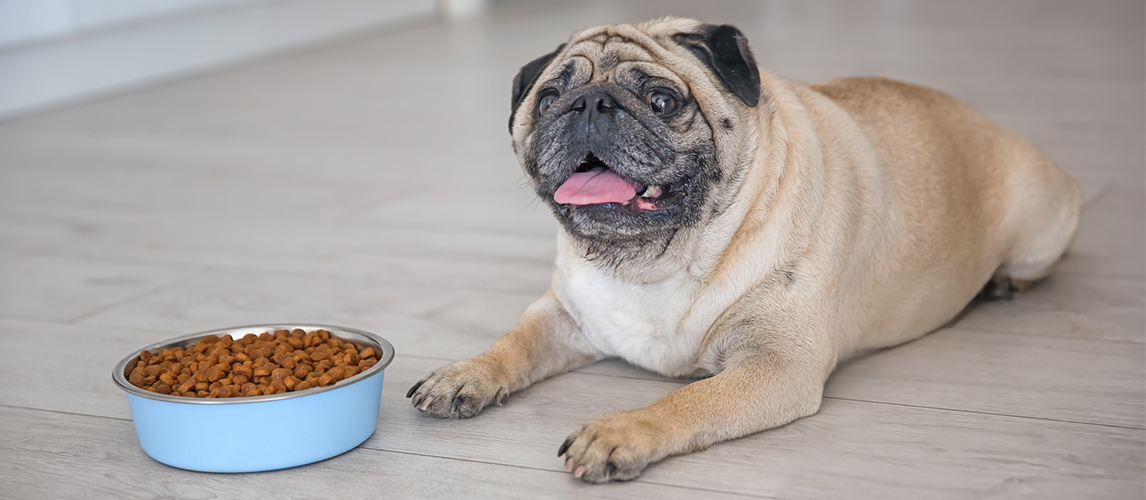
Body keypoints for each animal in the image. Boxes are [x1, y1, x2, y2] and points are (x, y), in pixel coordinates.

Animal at [405, 17, 1081, 481]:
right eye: (547, 100)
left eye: (662, 101)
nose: (588, 105)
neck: (659, 262)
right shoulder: (565, 315)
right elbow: (513, 342)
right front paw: (466, 373)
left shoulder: (775, 363)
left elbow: (689, 398)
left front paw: (620, 430)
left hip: (1041, 224)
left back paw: (1005, 283)